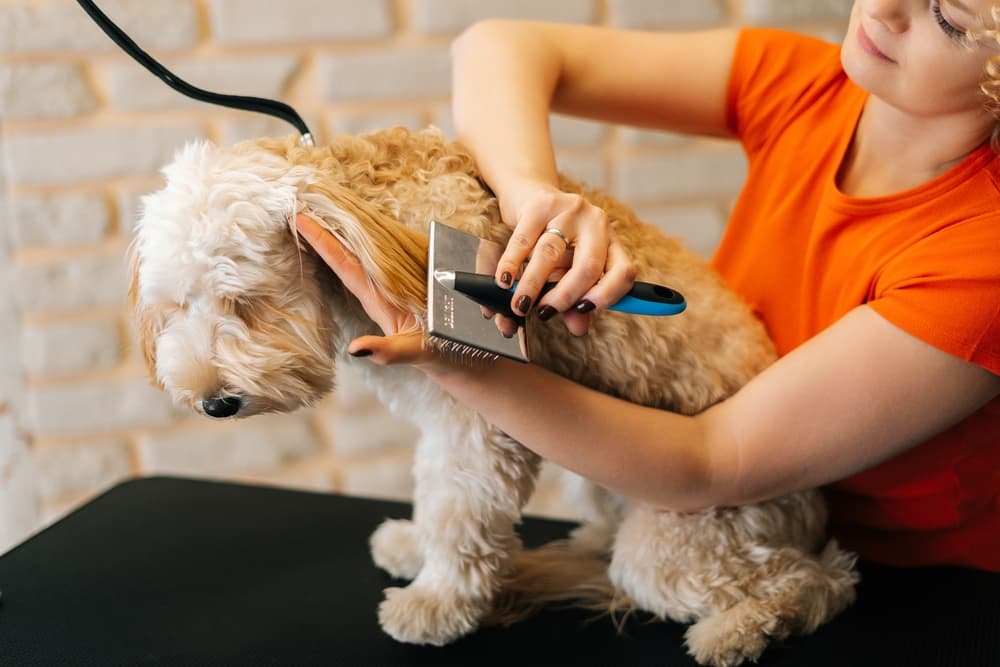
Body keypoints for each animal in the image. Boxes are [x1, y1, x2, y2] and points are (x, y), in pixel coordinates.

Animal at [129, 126, 856, 667]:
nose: (213, 403)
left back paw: (737, 629)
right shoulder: (436, 410)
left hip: (689, 542)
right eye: (175, 306)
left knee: (821, 578)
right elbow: (432, 488)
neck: (371, 208)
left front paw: (437, 602)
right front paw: (415, 546)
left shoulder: (477, 415)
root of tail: (815, 505)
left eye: (244, 302)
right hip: (598, 481)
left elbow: (461, 508)